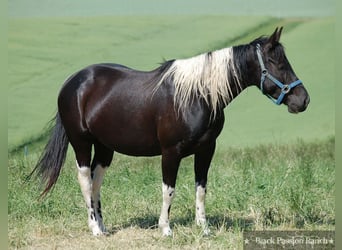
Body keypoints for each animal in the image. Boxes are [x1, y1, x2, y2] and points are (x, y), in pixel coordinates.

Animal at [31, 27, 310, 236]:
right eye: (275, 62)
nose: (303, 100)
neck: (198, 96)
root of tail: (73, 82)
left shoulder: (207, 150)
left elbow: (201, 188)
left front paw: (203, 228)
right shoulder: (170, 153)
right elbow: (169, 189)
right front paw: (165, 229)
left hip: (104, 147)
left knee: (96, 181)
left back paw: (103, 225)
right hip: (81, 142)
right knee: (85, 180)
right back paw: (95, 230)